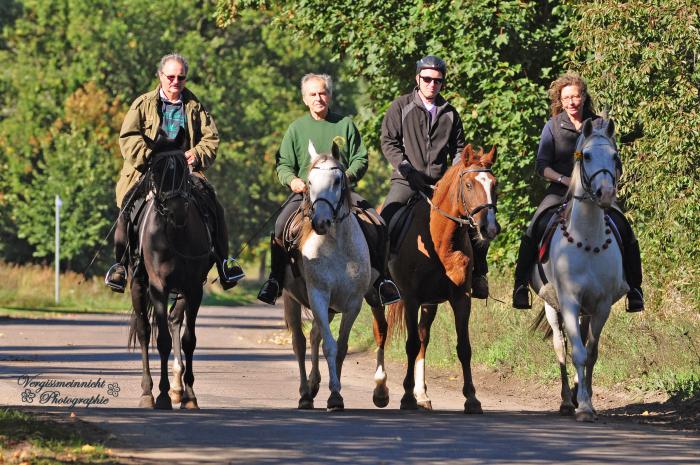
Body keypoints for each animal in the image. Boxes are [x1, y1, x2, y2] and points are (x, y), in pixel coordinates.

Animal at [127, 135, 212, 410]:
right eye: (156, 170)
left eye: (184, 169)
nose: (177, 211)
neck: (176, 233)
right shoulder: (158, 287)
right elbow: (162, 340)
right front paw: (162, 395)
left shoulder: (193, 289)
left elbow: (188, 340)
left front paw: (189, 396)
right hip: (138, 286)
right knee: (144, 332)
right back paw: (147, 392)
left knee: (174, 322)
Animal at [282, 141, 374, 410]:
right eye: (309, 181)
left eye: (337, 180)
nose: (320, 222)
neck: (336, 245)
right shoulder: (319, 296)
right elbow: (330, 346)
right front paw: (334, 395)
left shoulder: (353, 303)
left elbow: (341, 347)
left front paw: (335, 394)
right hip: (291, 300)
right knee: (300, 343)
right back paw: (305, 393)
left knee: (313, 336)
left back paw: (313, 385)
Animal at [382, 143, 498, 412]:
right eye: (469, 185)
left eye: (494, 184)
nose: (490, 229)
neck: (440, 239)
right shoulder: (411, 299)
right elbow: (411, 344)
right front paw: (406, 397)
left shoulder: (461, 298)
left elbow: (463, 347)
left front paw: (471, 398)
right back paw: (380, 389)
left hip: (430, 304)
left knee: (424, 338)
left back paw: (422, 394)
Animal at [532, 118, 628, 420]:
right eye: (585, 156)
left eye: (615, 156)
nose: (606, 193)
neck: (587, 240)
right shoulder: (570, 302)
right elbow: (576, 353)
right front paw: (582, 405)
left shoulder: (601, 305)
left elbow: (591, 352)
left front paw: (586, 399)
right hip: (553, 307)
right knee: (560, 348)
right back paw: (566, 400)